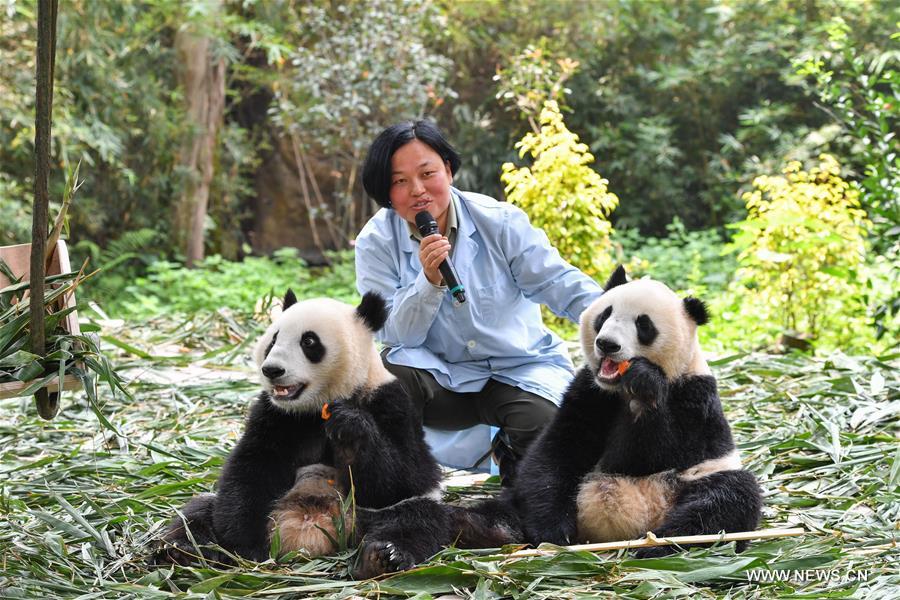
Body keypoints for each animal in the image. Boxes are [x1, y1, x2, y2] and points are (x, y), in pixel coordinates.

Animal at [155, 292, 442, 564]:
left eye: (309, 342)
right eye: (273, 340)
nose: (272, 370)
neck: (316, 406)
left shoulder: (391, 402)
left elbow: (405, 477)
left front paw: (348, 428)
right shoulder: (274, 414)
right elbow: (252, 467)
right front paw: (246, 544)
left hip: (372, 515)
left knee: (417, 518)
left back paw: (384, 557)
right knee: (198, 511)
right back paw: (181, 551)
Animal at [512, 266, 760, 556]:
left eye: (644, 325)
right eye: (605, 314)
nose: (607, 344)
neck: (618, 388)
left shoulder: (695, 396)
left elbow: (655, 452)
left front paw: (644, 384)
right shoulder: (589, 392)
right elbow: (558, 451)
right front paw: (554, 533)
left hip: (699, 480)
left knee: (726, 500)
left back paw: (658, 544)